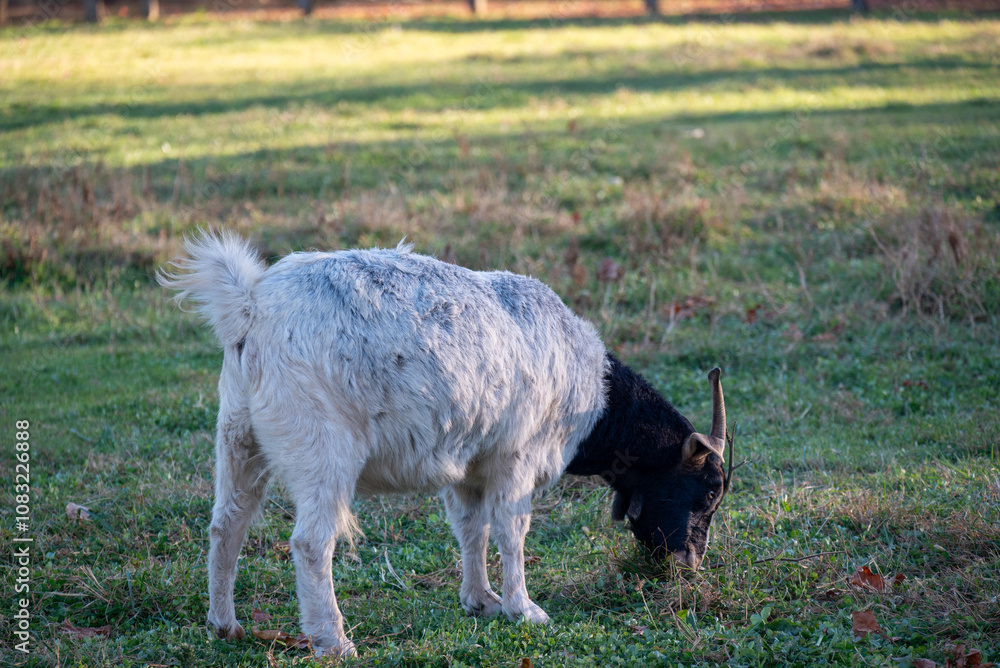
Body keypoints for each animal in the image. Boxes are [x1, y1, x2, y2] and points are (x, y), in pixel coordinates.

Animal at [159, 232, 728, 658]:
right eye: (707, 491)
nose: (689, 563)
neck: (591, 391)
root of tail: (251, 307)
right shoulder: (516, 457)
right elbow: (511, 530)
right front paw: (525, 609)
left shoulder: (470, 465)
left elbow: (471, 528)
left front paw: (481, 600)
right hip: (321, 447)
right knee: (311, 542)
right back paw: (333, 640)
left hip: (238, 435)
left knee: (227, 523)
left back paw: (225, 625)